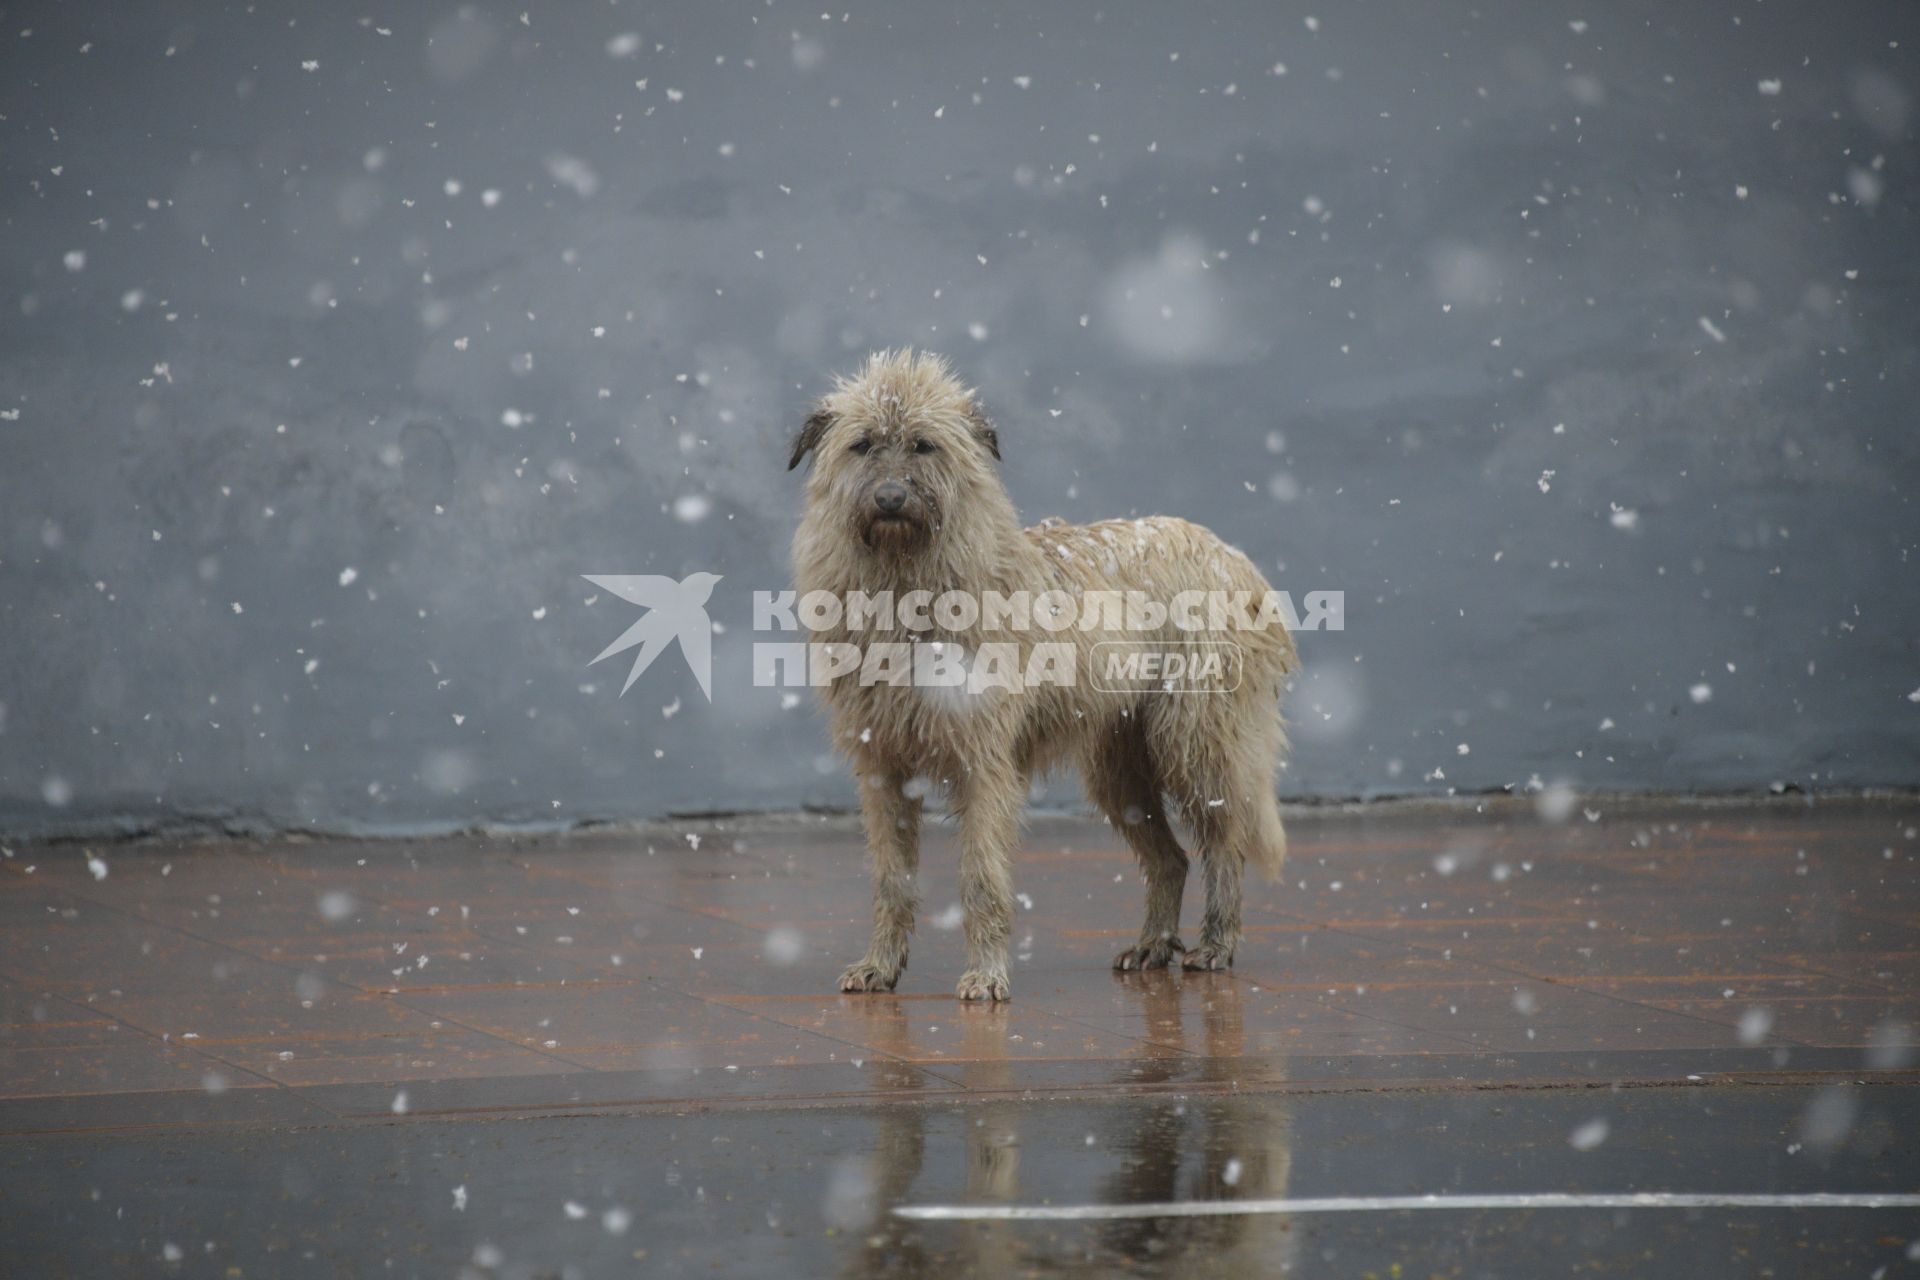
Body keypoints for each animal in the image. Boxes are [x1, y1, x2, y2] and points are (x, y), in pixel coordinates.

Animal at [787, 347, 1297, 997]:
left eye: (924, 445)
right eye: (863, 444)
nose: (891, 497)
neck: (907, 587)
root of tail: (1231, 556)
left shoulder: (985, 764)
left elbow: (981, 876)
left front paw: (986, 975)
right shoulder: (883, 769)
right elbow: (891, 878)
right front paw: (880, 963)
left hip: (1195, 741)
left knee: (1224, 842)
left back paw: (1216, 943)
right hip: (1120, 770)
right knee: (1169, 858)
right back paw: (1153, 944)